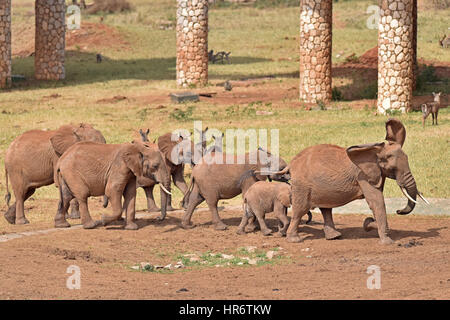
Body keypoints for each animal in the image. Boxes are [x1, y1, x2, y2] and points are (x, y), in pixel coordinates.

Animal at [270, 119, 428, 244]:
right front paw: (387, 241)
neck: (374, 151)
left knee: (326, 208)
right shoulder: (363, 175)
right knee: (300, 209)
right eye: (393, 168)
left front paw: (369, 223)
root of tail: (291, 163)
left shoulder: (376, 174)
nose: (398, 210)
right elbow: (376, 201)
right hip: (302, 184)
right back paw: (295, 240)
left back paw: (335, 237)